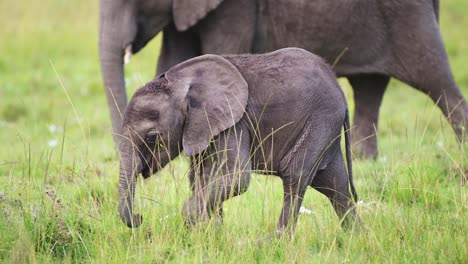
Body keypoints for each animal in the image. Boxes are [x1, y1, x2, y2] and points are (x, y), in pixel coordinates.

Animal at [100, 0, 468, 159]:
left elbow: (220, 51)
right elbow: (174, 61)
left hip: (409, 16)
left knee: (437, 81)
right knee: (369, 88)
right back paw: (366, 162)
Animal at [119, 47, 360, 235]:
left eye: (152, 137)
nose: (140, 217)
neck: (180, 81)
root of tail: (340, 92)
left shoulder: (235, 122)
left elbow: (236, 177)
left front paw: (195, 223)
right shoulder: (202, 128)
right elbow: (203, 177)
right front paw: (212, 233)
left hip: (321, 119)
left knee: (295, 174)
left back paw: (272, 242)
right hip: (325, 126)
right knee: (334, 184)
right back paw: (356, 238)